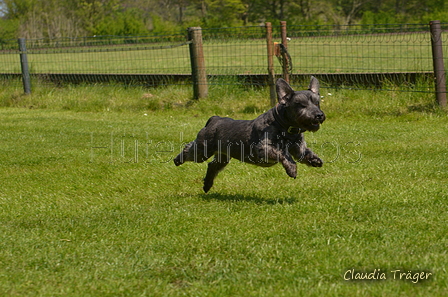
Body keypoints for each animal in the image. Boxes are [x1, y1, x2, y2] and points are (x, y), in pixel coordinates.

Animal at [174, 76, 326, 192]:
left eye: (317, 103)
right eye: (301, 105)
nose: (319, 115)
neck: (284, 127)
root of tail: (214, 119)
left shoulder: (299, 148)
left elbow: (305, 153)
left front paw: (314, 160)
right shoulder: (264, 148)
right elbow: (284, 153)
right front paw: (292, 169)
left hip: (223, 157)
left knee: (212, 166)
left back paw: (207, 185)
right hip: (202, 151)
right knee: (188, 149)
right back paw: (178, 160)